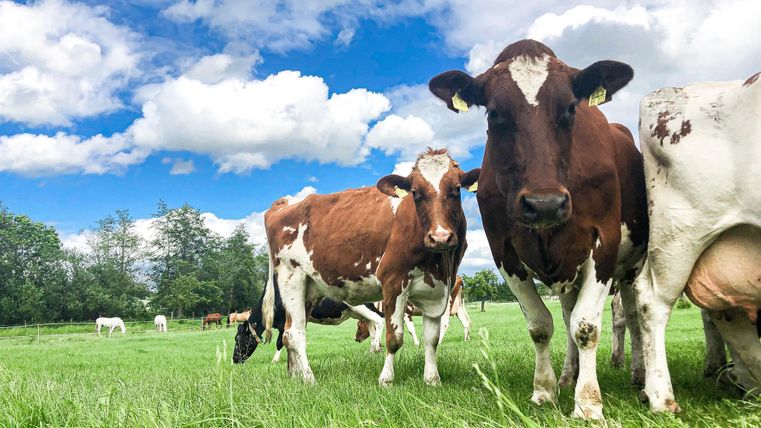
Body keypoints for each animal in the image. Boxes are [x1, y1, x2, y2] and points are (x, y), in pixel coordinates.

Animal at [233, 286, 384, 364]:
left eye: (238, 339)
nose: (234, 359)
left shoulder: (284, 323)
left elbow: (280, 342)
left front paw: (275, 360)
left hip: (363, 306)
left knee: (380, 319)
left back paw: (377, 347)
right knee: (371, 326)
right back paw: (372, 350)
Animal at [260, 149, 476, 386]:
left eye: (456, 189)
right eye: (415, 192)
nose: (440, 237)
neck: (439, 263)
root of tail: (283, 202)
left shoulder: (438, 289)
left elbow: (432, 339)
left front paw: (432, 379)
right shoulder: (393, 282)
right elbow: (394, 338)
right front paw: (386, 379)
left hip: (309, 287)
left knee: (291, 330)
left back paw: (295, 376)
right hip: (291, 277)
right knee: (294, 334)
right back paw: (309, 379)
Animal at [429, 39, 648, 419]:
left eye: (571, 109)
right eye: (494, 113)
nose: (544, 203)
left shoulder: (604, 243)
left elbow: (587, 326)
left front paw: (588, 402)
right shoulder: (503, 249)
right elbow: (541, 325)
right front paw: (545, 389)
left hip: (631, 266)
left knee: (631, 316)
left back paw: (637, 373)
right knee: (568, 312)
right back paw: (568, 376)